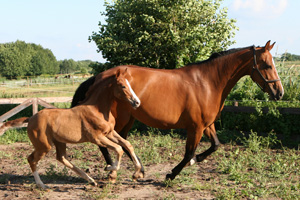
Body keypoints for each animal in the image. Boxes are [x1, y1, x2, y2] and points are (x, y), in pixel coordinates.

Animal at [0, 69, 143, 189]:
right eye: (123, 86)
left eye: (130, 84)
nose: (137, 102)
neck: (97, 109)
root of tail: (30, 119)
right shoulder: (97, 138)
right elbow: (119, 149)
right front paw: (110, 169)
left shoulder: (109, 132)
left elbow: (127, 145)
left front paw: (136, 174)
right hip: (44, 146)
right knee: (32, 159)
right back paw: (42, 185)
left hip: (58, 142)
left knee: (61, 158)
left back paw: (91, 180)